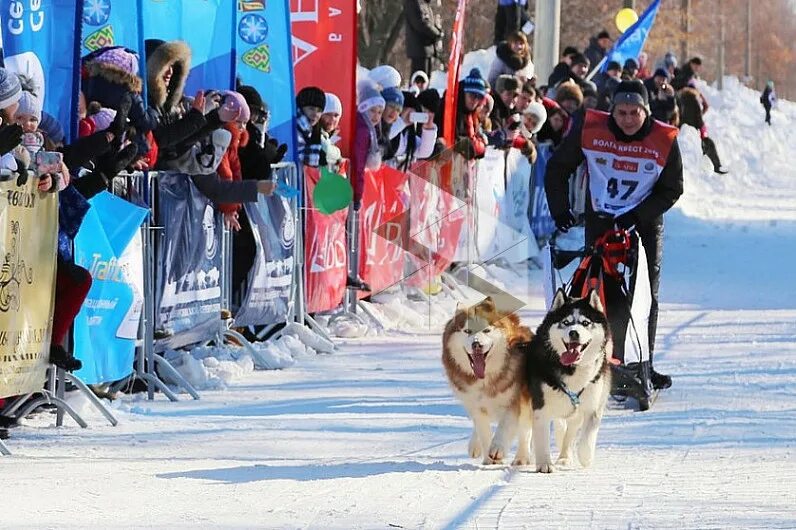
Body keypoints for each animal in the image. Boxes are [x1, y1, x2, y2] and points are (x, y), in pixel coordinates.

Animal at [442, 294, 536, 464]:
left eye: (486, 330)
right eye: (467, 331)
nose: (476, 344)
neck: (485, 379)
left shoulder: (513, 401)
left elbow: (506, 427)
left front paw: (497, 448)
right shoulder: (477, 406)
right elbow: (484, 432)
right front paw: (488, 458)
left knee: (525, 430)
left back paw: (521, 457)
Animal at [524, 288, 616, 470]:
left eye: (585, 323)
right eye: (566, 322)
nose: (574, 333)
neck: (573, 369)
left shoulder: (592, 408)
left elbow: (586, 437)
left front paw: (585, 456)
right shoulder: (540, 408)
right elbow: (542, 437)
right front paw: (544, 463)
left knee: (570, 431)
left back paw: (565, 456)